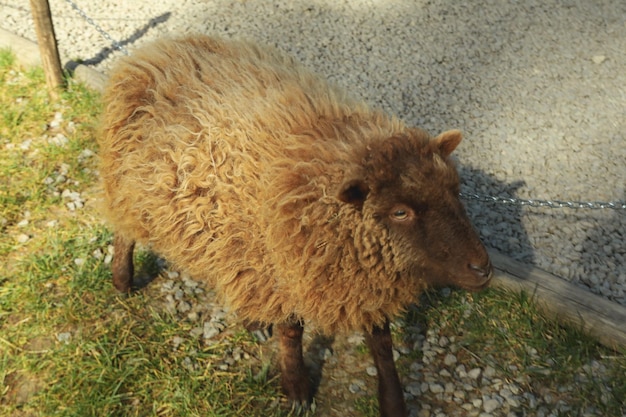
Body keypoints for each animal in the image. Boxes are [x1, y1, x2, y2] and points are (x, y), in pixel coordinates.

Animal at [100, 35, 492, 416]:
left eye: (455, 189)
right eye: (399, 212)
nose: (483, 268)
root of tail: (155, 48)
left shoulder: (361, 275)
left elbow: (382, 343)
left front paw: (392, 403)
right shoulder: (283, 268)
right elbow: (292, 331)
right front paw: (297, 389)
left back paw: (252, 321)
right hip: (133, 186)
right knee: (125, 230)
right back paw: (122, 280)